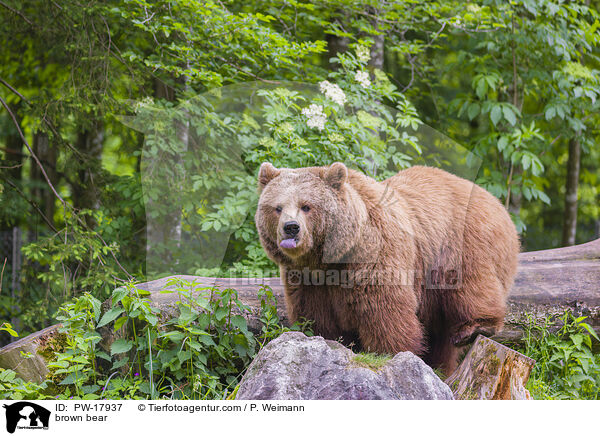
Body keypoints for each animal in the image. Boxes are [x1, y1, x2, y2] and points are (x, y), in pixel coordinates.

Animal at [255, 162, 516, 372]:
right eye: (277, 207)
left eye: (306, 206)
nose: (291, 227)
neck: (329, 258)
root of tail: (496, 202)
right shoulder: (308, 279)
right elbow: (316, 316)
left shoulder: (375, 255)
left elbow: (384, 311)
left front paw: (392, 352)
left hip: (461, 245)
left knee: (472, 285)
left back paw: (475, 328)